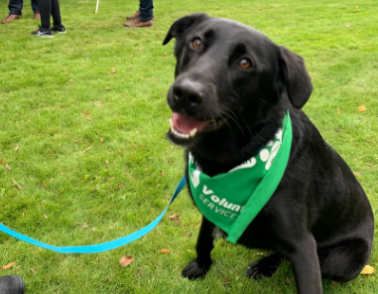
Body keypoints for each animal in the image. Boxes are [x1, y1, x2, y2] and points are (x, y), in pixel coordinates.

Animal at [162, 14, 372, 294]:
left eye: (245, 63)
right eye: (195, 42)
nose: (186, 93)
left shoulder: (303, 245)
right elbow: (203, 238)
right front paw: (201, 265)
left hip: (340, 261)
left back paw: (265, 266)